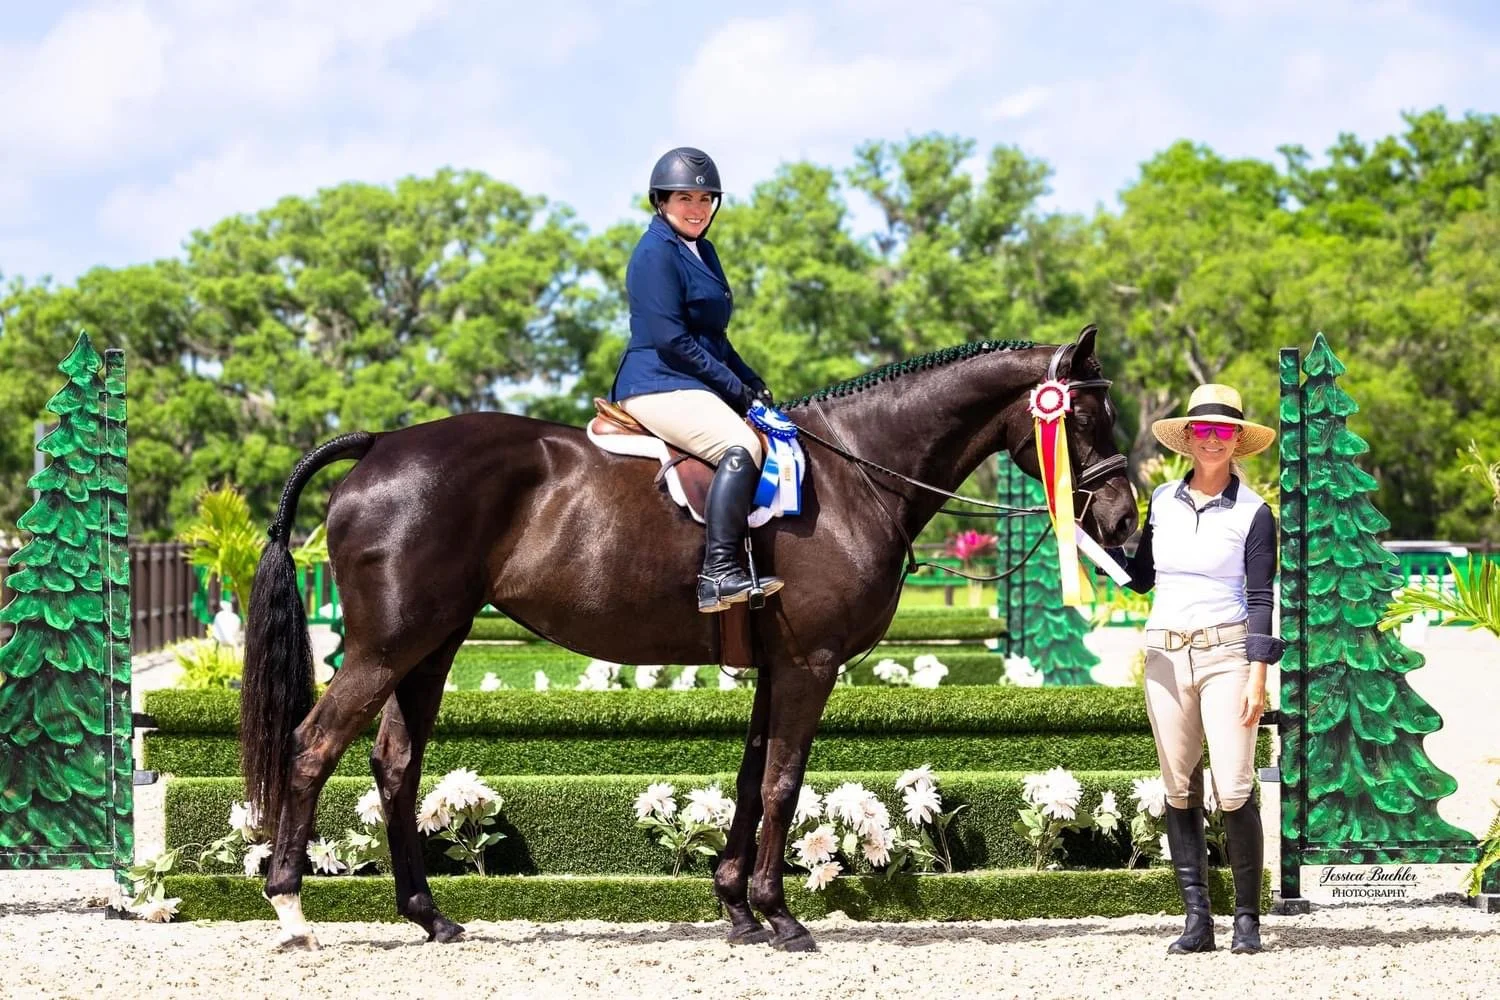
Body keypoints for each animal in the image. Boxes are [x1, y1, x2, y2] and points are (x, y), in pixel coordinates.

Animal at [239, 324, 1138, 951]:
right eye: (1085, 418)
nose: (1127, 525)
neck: (857, 473)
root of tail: (380, 445)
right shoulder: (809, 665)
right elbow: (782, 784)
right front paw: (781, 918)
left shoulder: (776, 667)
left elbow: (750, 780)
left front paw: (737, 910)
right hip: (387, 647)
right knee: (312, 747)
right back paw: (291, 909)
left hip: (431, 647)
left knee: (393, 763)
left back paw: (431, 917)